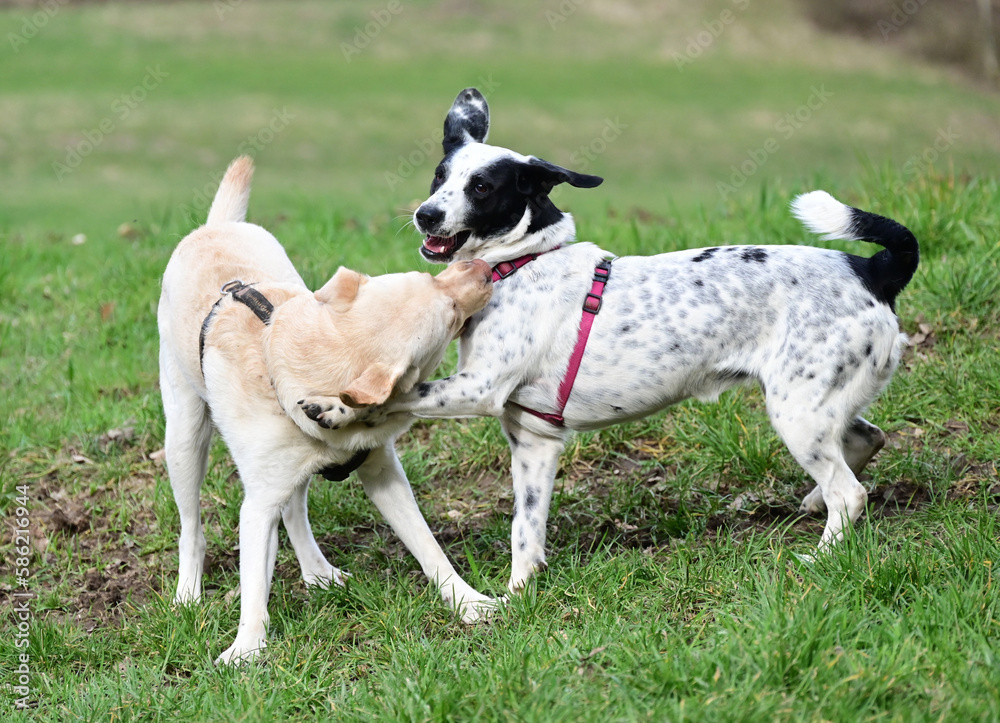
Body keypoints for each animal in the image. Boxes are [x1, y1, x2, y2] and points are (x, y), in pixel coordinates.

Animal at [157, 156, 496, 664]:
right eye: (450, 311)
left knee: (295, 509)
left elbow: (428, 545)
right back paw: (187, 594)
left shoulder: (383, 473)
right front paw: (246, 649)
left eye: (431, 278)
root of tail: (215, 226)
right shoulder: (256, 508)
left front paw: (468, 602)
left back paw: (318, 572)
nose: (483, 265)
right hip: (183, 435)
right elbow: (253, 585)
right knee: (192, 525)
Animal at [306, 89, 920, 592]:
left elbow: (397, 393)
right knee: (865, 442)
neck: (520, 264)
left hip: (797, 413)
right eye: (439, 177)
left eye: (481, 188)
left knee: (850, 492)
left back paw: (821, 556)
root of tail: (870, 270)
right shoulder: (533, 442)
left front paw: (334, 406)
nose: (426, 214)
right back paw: (815, 501)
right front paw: (517, 598)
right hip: (819, 406)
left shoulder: (477, 387)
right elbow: (525, 531)